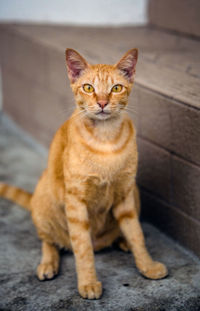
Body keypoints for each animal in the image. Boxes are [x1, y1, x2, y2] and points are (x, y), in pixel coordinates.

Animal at [0, 48, 168, 300]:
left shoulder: (125, 193)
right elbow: (82, 248)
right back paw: (48, 264)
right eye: (88, 88)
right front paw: (88, 282)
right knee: (48, 240)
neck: (106, 139)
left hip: (135, 193)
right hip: (43, 198)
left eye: (116, 88)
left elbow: (136, 234)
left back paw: (122, 241)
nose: (102, 102)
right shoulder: (76, 201)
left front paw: (147, 265)